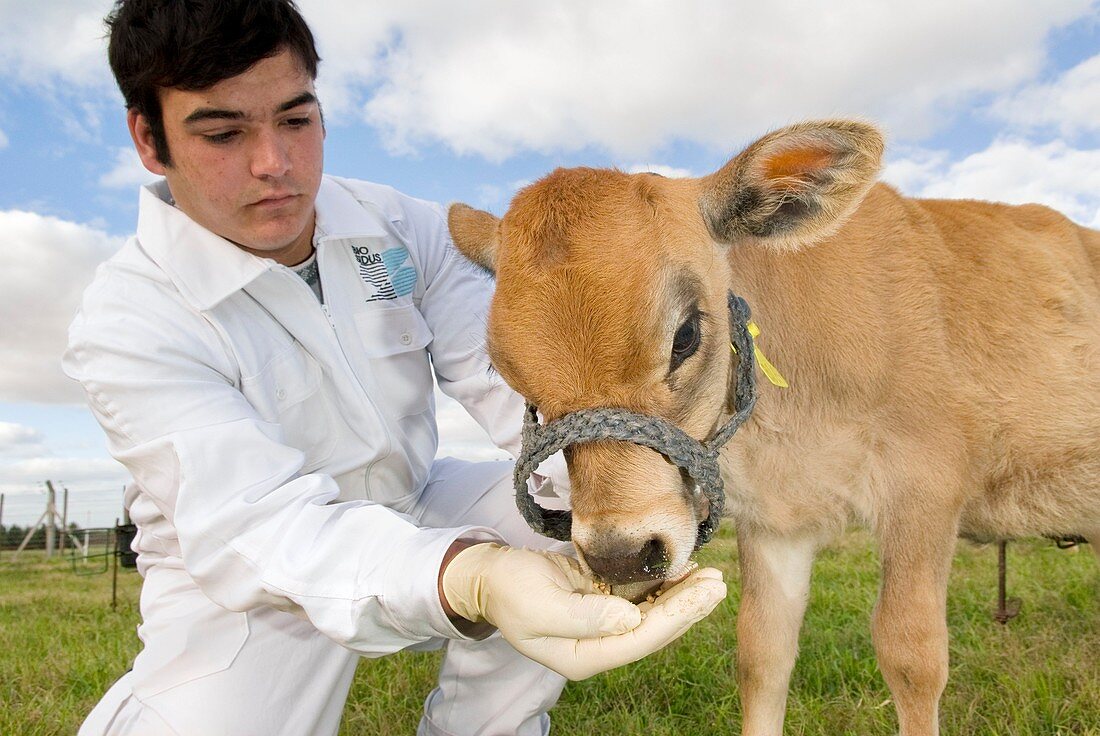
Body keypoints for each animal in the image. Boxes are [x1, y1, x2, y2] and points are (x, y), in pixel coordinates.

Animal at [446, 122, 1100, 734]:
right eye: (517, 384)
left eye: (686, 335)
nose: (621, 557)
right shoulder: (774, 521)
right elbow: (762, 654)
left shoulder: (925, 487)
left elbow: (911, 656)